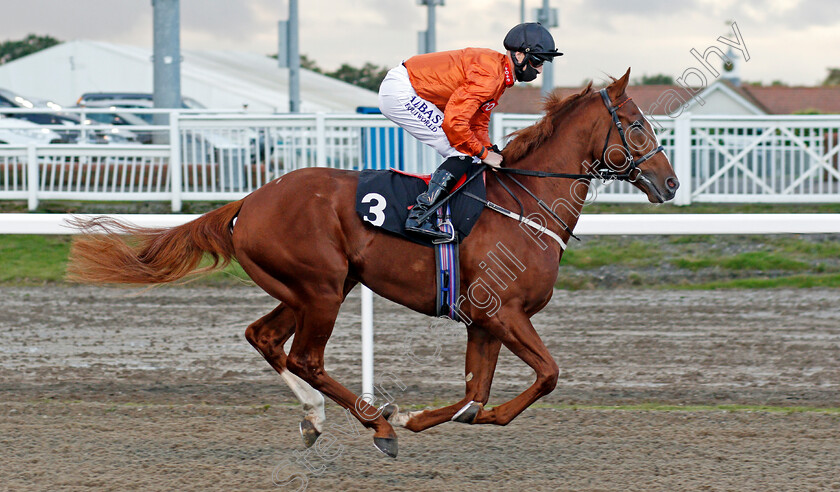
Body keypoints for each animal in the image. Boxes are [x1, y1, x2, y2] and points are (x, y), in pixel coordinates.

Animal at [69, 68, 680, 458]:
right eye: (638, 125)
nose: (671, 183)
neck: (524, 203)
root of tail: (249, 200)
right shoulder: (503, 313)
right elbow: (547, 375)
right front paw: (407, 419)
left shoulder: (484, 322)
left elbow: (475, 395)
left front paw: (432, 417)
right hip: (319, 289)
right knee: (305, 357)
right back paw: (376, 425)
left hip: (313, 288)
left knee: (264, 338)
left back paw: (317, 420)